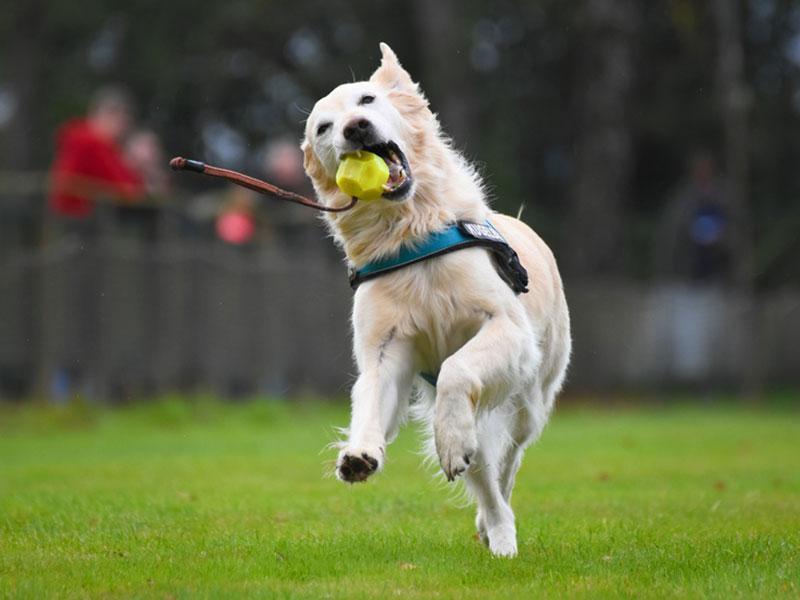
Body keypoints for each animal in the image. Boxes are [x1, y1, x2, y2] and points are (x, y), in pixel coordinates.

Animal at [300, 43, 568, 556]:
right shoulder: (384, 352)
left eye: (367, 100)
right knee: (485, 472)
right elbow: (369, 400)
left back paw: (497, 527)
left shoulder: (507, 329)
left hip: (530, 399)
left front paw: (449, 440)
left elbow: (456, 370)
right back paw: (493, 526)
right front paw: (360, 453)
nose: (353, 128)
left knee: (507, 465)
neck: (410, 233)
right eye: (323, 127)